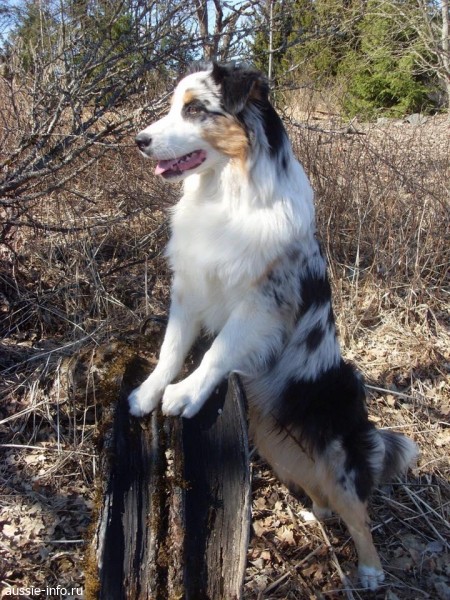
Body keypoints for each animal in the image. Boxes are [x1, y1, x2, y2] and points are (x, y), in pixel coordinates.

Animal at [129, 62, 418, 590]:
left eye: (194, 109)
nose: (140, 140)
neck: (226, 193)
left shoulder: (262, 304)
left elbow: (218, 350)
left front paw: (187, 392)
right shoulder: (191, 285)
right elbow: (172, 347)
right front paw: (150, 390)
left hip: (336, 454)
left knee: (358, 513)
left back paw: (370, 570)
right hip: (276, 446)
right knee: (323, 497)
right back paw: (313, 514)